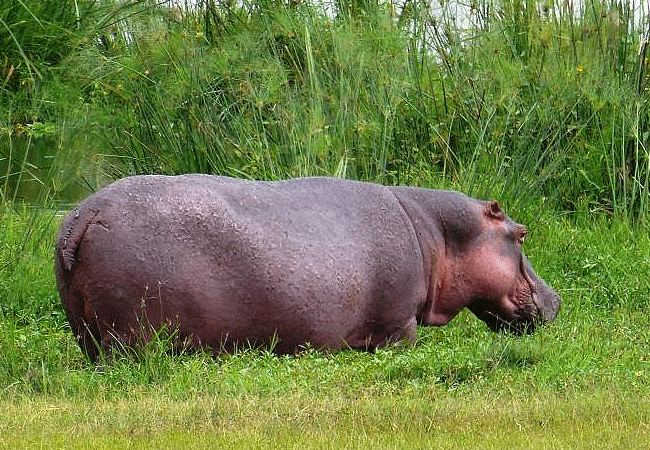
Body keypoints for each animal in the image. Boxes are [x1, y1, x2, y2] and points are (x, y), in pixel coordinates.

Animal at [54, 174, 556, 360]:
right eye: (521, 233)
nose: (556, 297)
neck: (437, 234)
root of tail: (85, 214)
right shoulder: (398, 325)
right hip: (131, 337)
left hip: (85, 329)